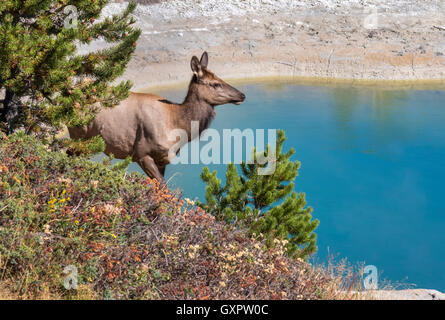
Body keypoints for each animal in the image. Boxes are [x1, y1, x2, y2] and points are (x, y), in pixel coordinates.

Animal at [68, 53, 246, 182]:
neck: (177, 125)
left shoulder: (163, 159)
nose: (242, 95)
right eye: (215, 84)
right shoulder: (141, 153)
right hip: (79, 135)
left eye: (220, 78)